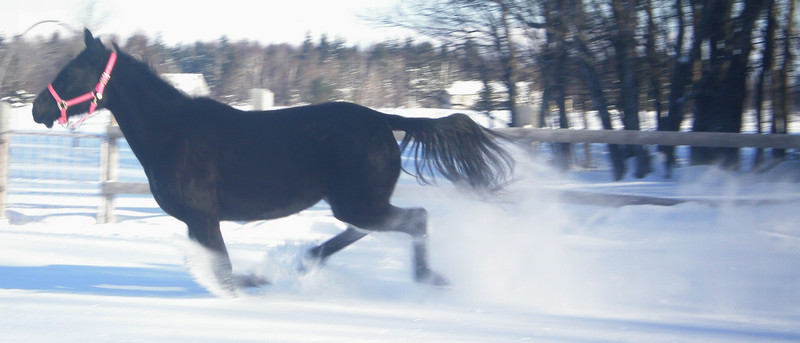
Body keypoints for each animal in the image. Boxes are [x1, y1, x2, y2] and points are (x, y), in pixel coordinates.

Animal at [31, 30, 512, 292]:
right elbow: (218, 268)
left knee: (416, 219)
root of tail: (385, 120)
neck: (173, 132)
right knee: (367, 228)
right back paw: (306, 260)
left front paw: (253, 283)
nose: (37, 109)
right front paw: (257, 279)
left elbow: (224, 271)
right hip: (356, 203)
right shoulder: (197, 221)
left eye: (70, 73)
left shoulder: (203, 217)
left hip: (359, 202)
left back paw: (430, 279)